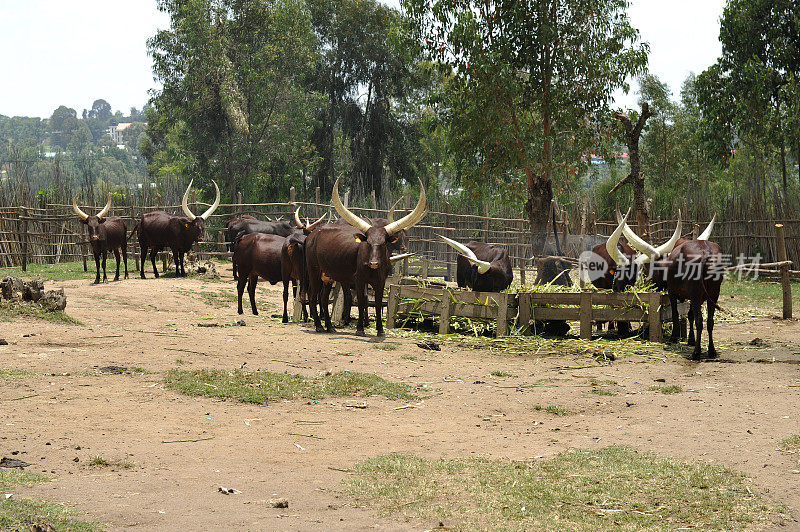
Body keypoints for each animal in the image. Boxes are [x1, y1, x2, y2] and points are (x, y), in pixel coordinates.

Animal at [304, 179, 424, 336]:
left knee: (323, 299)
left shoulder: (380, 281)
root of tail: (312, 235)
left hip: (328, 277)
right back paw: (318, 326)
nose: (373, 263)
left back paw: (329, 327)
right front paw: (360, 329)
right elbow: (360, 301)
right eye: (368, 242)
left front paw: (380, 330)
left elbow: (377, 303)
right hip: (314, 272)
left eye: (383, 244)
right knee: (313, 297)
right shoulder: (359, 280)